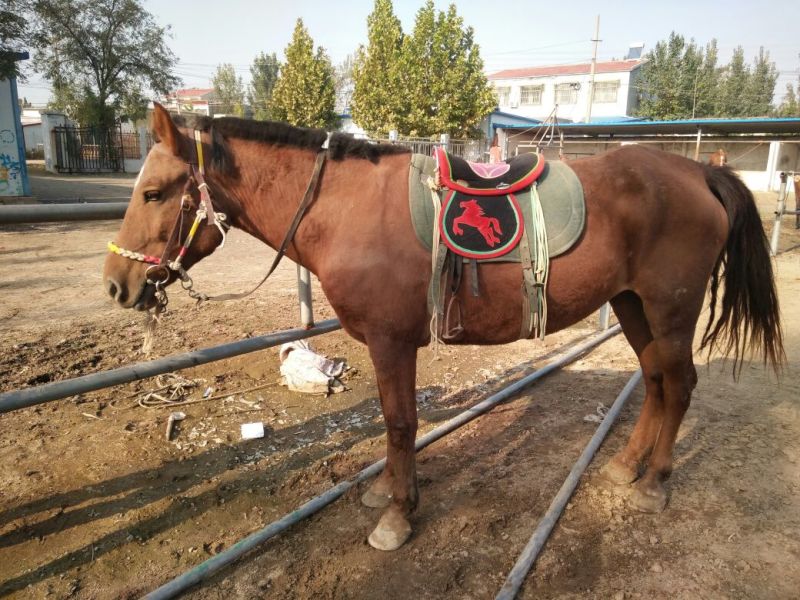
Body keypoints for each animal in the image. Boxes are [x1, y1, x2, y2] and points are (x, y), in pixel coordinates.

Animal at [103, 104, 783, 552]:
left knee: (681, 384)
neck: (342, 207)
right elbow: (393, 421)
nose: (116, 285)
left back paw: (655, 484)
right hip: (633, 306)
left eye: (156, 192)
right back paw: (624, 467)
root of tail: (698, 173)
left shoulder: (391, 341)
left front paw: (398, 516)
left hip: (670, 309)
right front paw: (387, 492)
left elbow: (400, 422)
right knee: (656, 381)